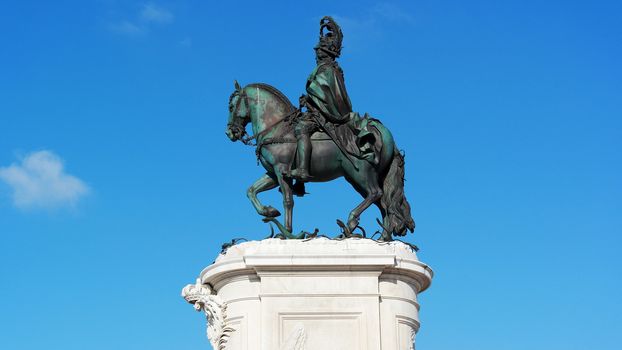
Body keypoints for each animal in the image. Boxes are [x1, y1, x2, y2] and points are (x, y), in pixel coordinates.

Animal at [224, 81, 414, 241]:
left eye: (231, 106)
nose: (230, 132)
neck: (278, 128)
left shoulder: (281, 170)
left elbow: (287, 201)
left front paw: (287, 232)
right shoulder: (272, 173)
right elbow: (251, 190)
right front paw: (269, 211)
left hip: (360, 174)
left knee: (376, 194)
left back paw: (352, 222)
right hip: (357, 178)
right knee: (384, 204)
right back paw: (384, 237)